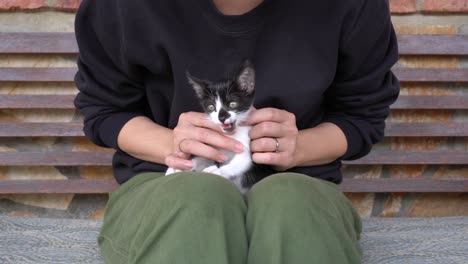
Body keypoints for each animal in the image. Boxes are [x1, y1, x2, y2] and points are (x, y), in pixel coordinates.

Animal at [166, 60, 258, 192]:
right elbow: (201, 158)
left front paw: (215, 172)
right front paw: (178, 166)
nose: (222, 117)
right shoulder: (212, 149)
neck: (231, 135)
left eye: (233, 104)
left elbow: (239, 163)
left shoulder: (245, 146)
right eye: (211, 107)